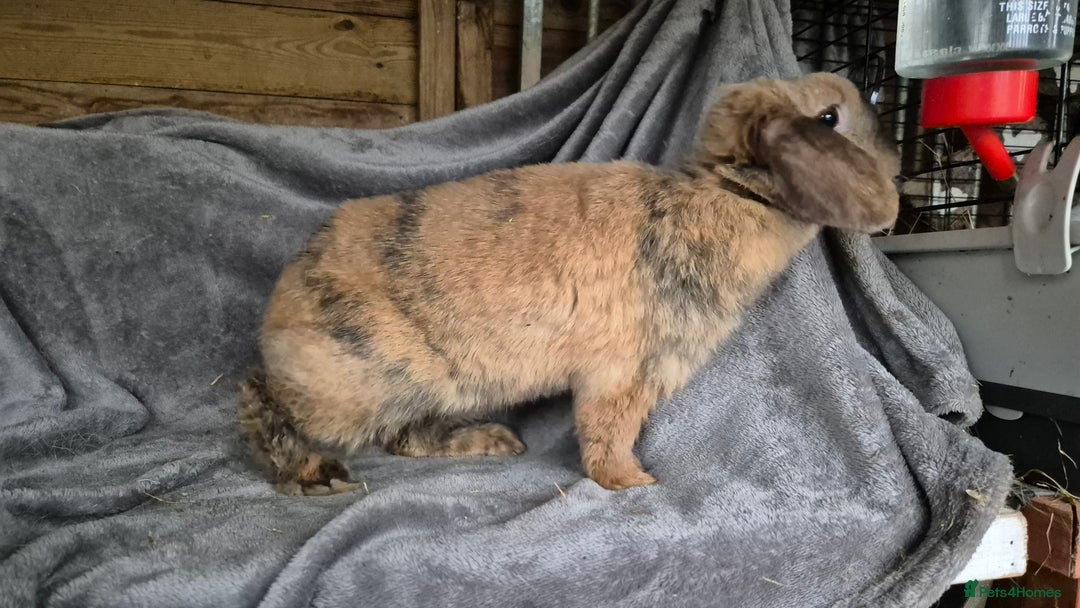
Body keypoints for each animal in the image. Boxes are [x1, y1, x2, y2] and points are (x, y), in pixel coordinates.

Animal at [238, 72, 900, 495]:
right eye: (828, 118)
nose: (894, 157)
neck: (727, 193)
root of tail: (281, 304)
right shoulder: (622, 373)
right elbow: (607, 434)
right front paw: (634, 483)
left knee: (406, 440)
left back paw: (495, 444)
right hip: (348, 385)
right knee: (262, 401)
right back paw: (314, 477)